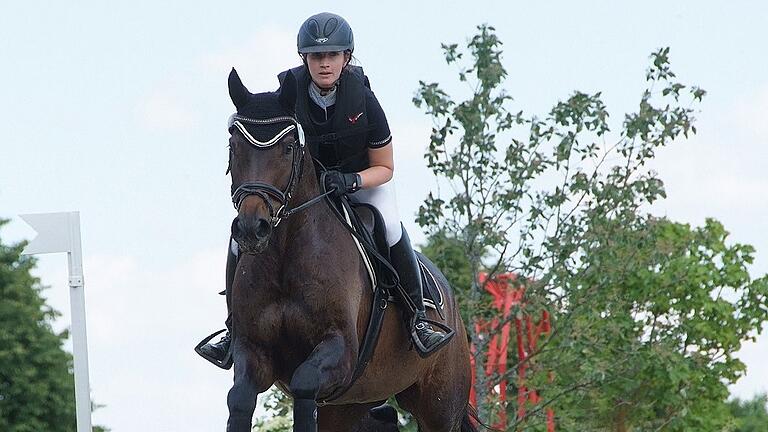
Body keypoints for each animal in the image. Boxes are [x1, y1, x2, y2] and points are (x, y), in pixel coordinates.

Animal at [222, 68, 476, 432]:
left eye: (288, 147)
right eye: (233, 145)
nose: (251, 228)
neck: (285, 252)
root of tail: (450, 298)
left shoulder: (339, 351)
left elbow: (304, 384)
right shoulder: (253, 350)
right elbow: (240, 398)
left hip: (440, 405)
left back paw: (425, 332)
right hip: (351, 403)